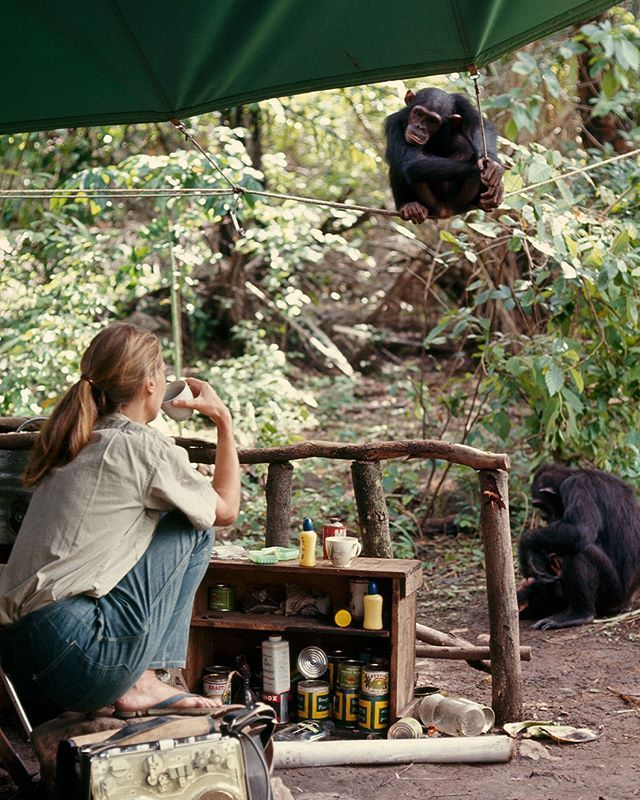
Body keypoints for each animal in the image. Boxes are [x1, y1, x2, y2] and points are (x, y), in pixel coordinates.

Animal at [384, 88, 504, 223]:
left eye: (432, 121)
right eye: (419, 114)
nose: (420, 127)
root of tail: (445, 211)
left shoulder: (463, 104)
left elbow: (478, 126)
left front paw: (494, 166)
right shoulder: (394, 123)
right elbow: (412, 161)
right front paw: (485, 170)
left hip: (463, 200)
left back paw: (485, 201)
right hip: (430, 203)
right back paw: (409, 206)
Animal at [516, 462, 640, 632]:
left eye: (540, 505)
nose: (544, 516)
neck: (570, 475)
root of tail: (627, 604)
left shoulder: (578, 486)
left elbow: (579, 530)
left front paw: (525, 546)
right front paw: (535, 560)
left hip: (612, 595)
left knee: (579, 551)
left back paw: (578, 614)